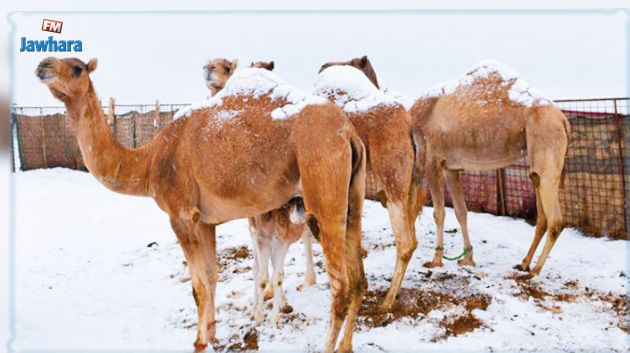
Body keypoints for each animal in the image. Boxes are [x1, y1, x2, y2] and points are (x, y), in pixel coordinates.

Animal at [35, 56, 370, 350]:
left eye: (77, 68)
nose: (43, 65)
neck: (149, 161)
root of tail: (349, 132)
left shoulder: (181, 214)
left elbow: (197, 286)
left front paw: (198, 342)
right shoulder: (205, 220)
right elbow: (211, 278)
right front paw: (211, 335)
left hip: (322, 181)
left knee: (340, 285)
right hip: (352, 195)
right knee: (359, 279)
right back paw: (346, 346)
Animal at [410, 59, 572, 276]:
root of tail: (563, 120)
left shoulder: (432, 162)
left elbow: (439, 213)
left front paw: (435, 261)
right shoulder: (450, 168)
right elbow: (461, 212)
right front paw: (468, 258)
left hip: (547, 146)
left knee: (556, 221)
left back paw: (534, 271)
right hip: (538, 164)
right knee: (542, 215)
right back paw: (524, 263)